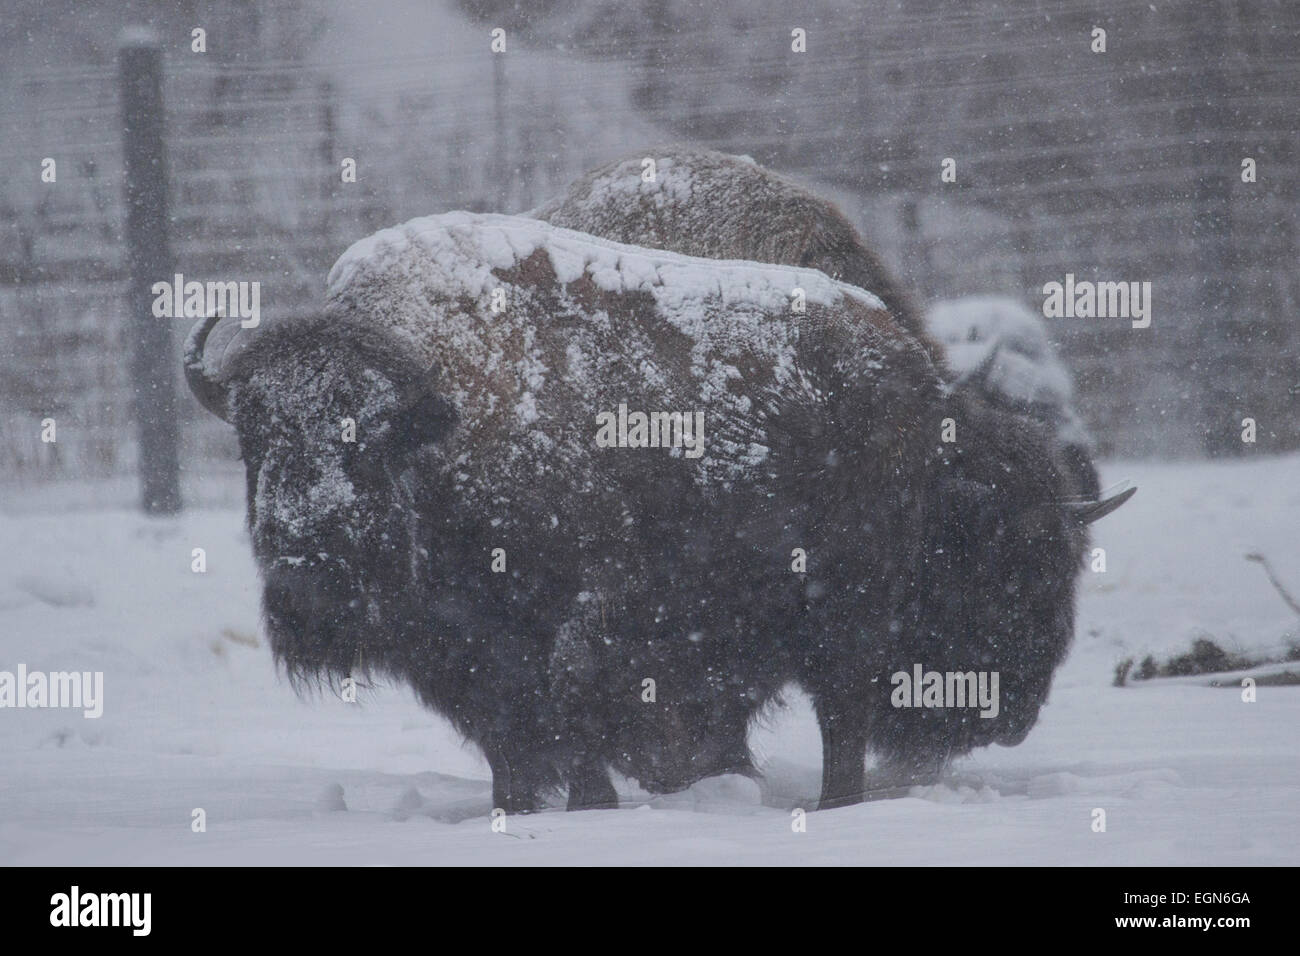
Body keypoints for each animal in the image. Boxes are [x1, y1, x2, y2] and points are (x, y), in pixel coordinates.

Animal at [188, 213, 1133, 811]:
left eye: (371, 437)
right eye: (252, 438)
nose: (302, 569)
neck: (447, 421)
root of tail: (909, 374)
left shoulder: (587, 614)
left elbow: (574, 712)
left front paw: (594, 808)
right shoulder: (475, 663)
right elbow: (512, 743)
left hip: (844, 617)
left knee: (842, 717)